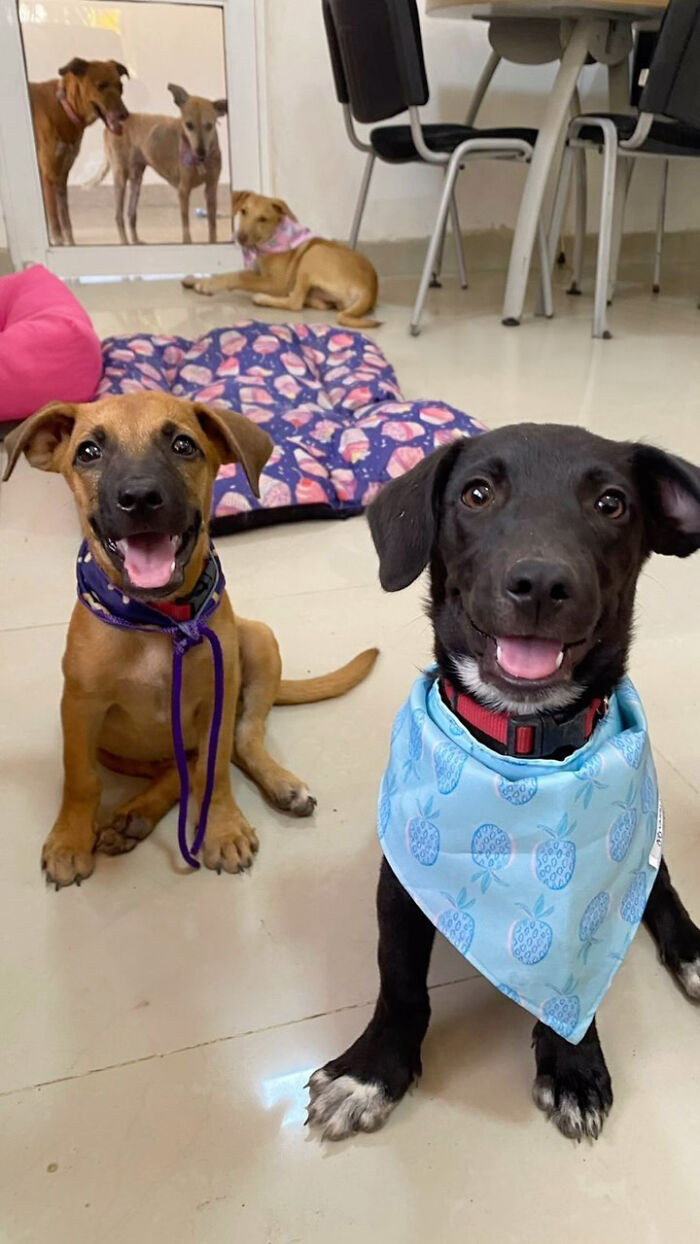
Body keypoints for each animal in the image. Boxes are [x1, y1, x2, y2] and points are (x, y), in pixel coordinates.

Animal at [2, 393, 377, 890]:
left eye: (184, 445)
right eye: (88, 452)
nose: (140, 498)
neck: (161, 623)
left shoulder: (217, 697)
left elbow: (215, 768)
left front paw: (223, 828)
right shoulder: (79, 708)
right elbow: (80, 778)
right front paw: (68, 841)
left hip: (258, 641)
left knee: (240, 741)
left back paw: (279, 785)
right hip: (117, 747)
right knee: (177, 769)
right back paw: (135, 814)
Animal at [28, 57, 129, 247]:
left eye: (120, 86)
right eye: (101, 86)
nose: (125, 115)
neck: (64, 107)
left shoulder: (62, 176)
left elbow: (66, 220)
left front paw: (71, 243)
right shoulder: (48, 174)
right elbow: (55, 224)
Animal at [184, 186, 380, 328]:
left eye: (262, 219)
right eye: (244, 211)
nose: (240, 238)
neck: (269, 240)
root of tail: (370, 289)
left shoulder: (275, 282)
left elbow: (236, 276)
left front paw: (207, 285)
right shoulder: (258, 271)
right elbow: (228, 272)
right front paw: (194, 279)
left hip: (313, 255)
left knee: (295, 302)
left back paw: (262, 299)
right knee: (315, 302)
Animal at [308, 430, 700, 1144]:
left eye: (611, 503)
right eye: (477, 493)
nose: (541, 583)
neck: (521, 740)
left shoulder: (586, 892)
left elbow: (573, 978)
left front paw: (573, 1066)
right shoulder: (402, 878)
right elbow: (398, 980)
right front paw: (372, 1072)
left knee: (660, 886)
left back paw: (693, 953)